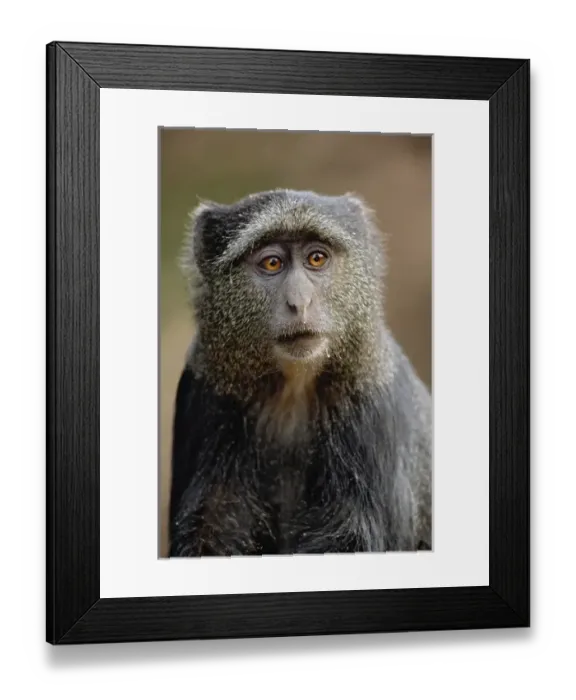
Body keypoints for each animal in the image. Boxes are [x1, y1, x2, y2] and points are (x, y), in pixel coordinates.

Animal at [168, 188, 432, 557]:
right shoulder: (207, 396)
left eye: (317, 259)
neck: (293, 388)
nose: (299, 302)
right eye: (272, 263)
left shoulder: (371, 404)